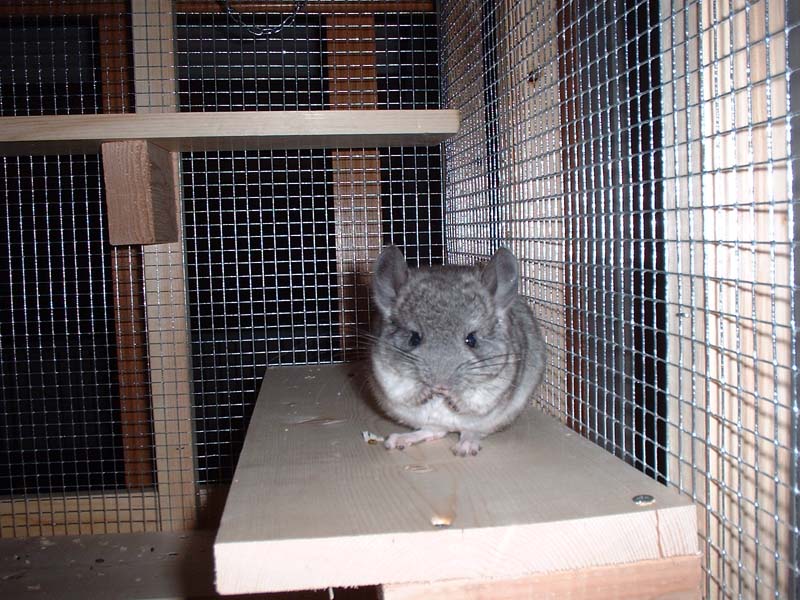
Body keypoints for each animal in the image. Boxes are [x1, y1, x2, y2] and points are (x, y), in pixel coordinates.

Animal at [369, 245, 546, 456]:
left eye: (471, 339)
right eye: (414, 338)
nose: (440, 386)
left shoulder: (496, 384)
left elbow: (472, 400)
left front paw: (453, 398)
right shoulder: (385, 374)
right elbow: (405, 391)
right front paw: (426, 392)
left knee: (469, 431)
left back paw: (465, 447)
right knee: (434, 432)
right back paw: (399, 440)